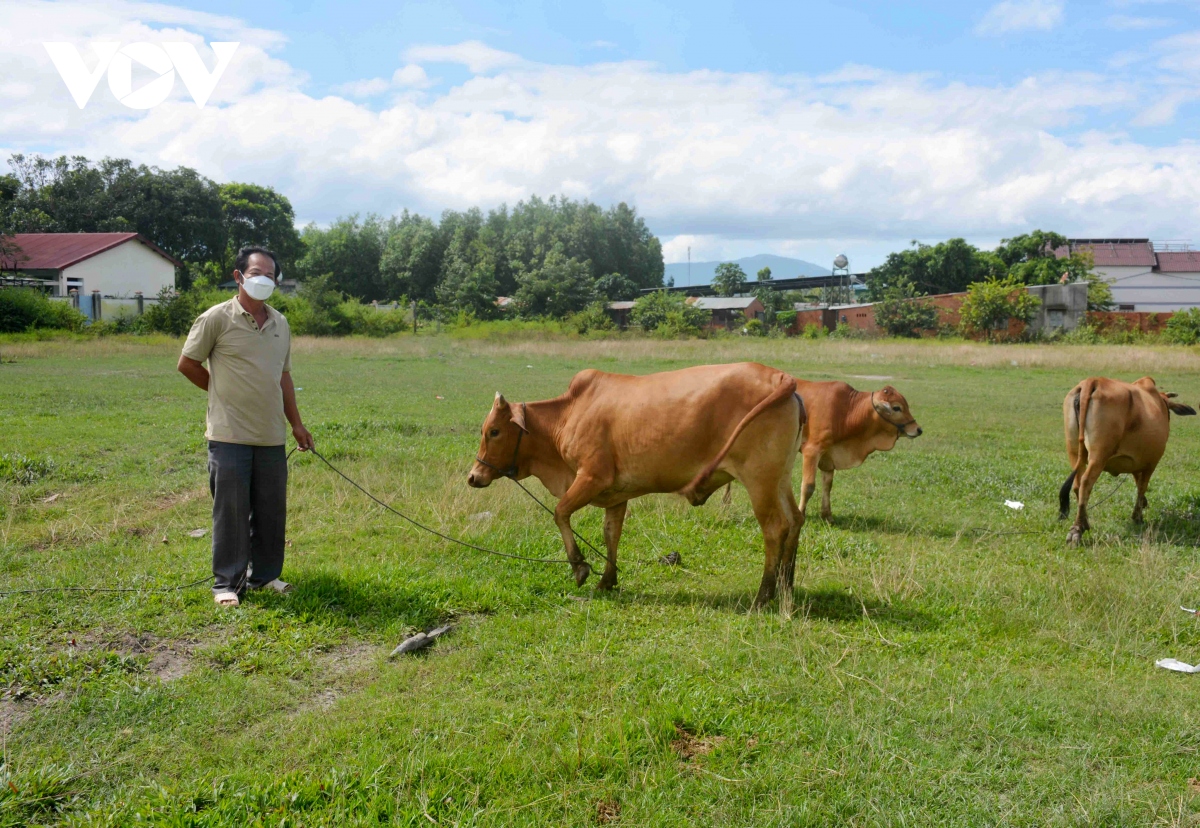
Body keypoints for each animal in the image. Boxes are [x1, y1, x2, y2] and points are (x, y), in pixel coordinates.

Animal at [468, 364, 806, 602]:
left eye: (494, 431)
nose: (474, 476)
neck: (568, 414)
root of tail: (781, 377)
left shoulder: (591, 477)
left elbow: (560, 513)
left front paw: (580, 567)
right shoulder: (616, 495)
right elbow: (610, 534)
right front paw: (607, 579)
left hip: (759, 479)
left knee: (775, 528)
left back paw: (764, 595)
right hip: (780, 478)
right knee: (795, 519)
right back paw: (786, 586)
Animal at [724, 376, 921, 518]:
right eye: (896, 408)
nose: (918, 429)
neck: (847, 410)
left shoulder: (828, 456)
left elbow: (828, 485)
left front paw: (827, 515)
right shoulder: (812, 451)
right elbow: (808, 486)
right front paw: (801, 512)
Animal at [1060, 374, 1190, 542]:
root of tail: (1094, 380)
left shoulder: (1137, 461)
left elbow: (1137, 481)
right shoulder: (1151, 462)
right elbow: (1142, 486)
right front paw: (1138, 516)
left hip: (1074, 451)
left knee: (1076, 485)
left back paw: (1085, 522)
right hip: (1099, 455)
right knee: (1085, 483)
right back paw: (1077, 529)